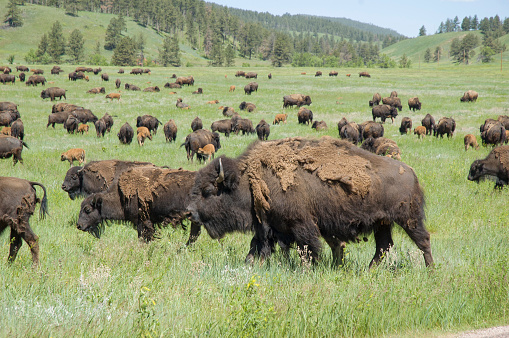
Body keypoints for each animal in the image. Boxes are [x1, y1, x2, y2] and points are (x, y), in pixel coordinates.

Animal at [187, 136, 432, 268]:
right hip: (383, 223)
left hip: (409, 220)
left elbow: (309, 250)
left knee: (423, 241)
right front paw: (250, 265)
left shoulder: (301, 225)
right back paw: (368, 271)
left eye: (208, 190)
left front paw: (309, 269)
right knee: (383, 247)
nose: (189, 212)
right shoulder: (268, 227)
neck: (249, 180)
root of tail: (411, 172)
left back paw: (431, 271)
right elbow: (255, 249)